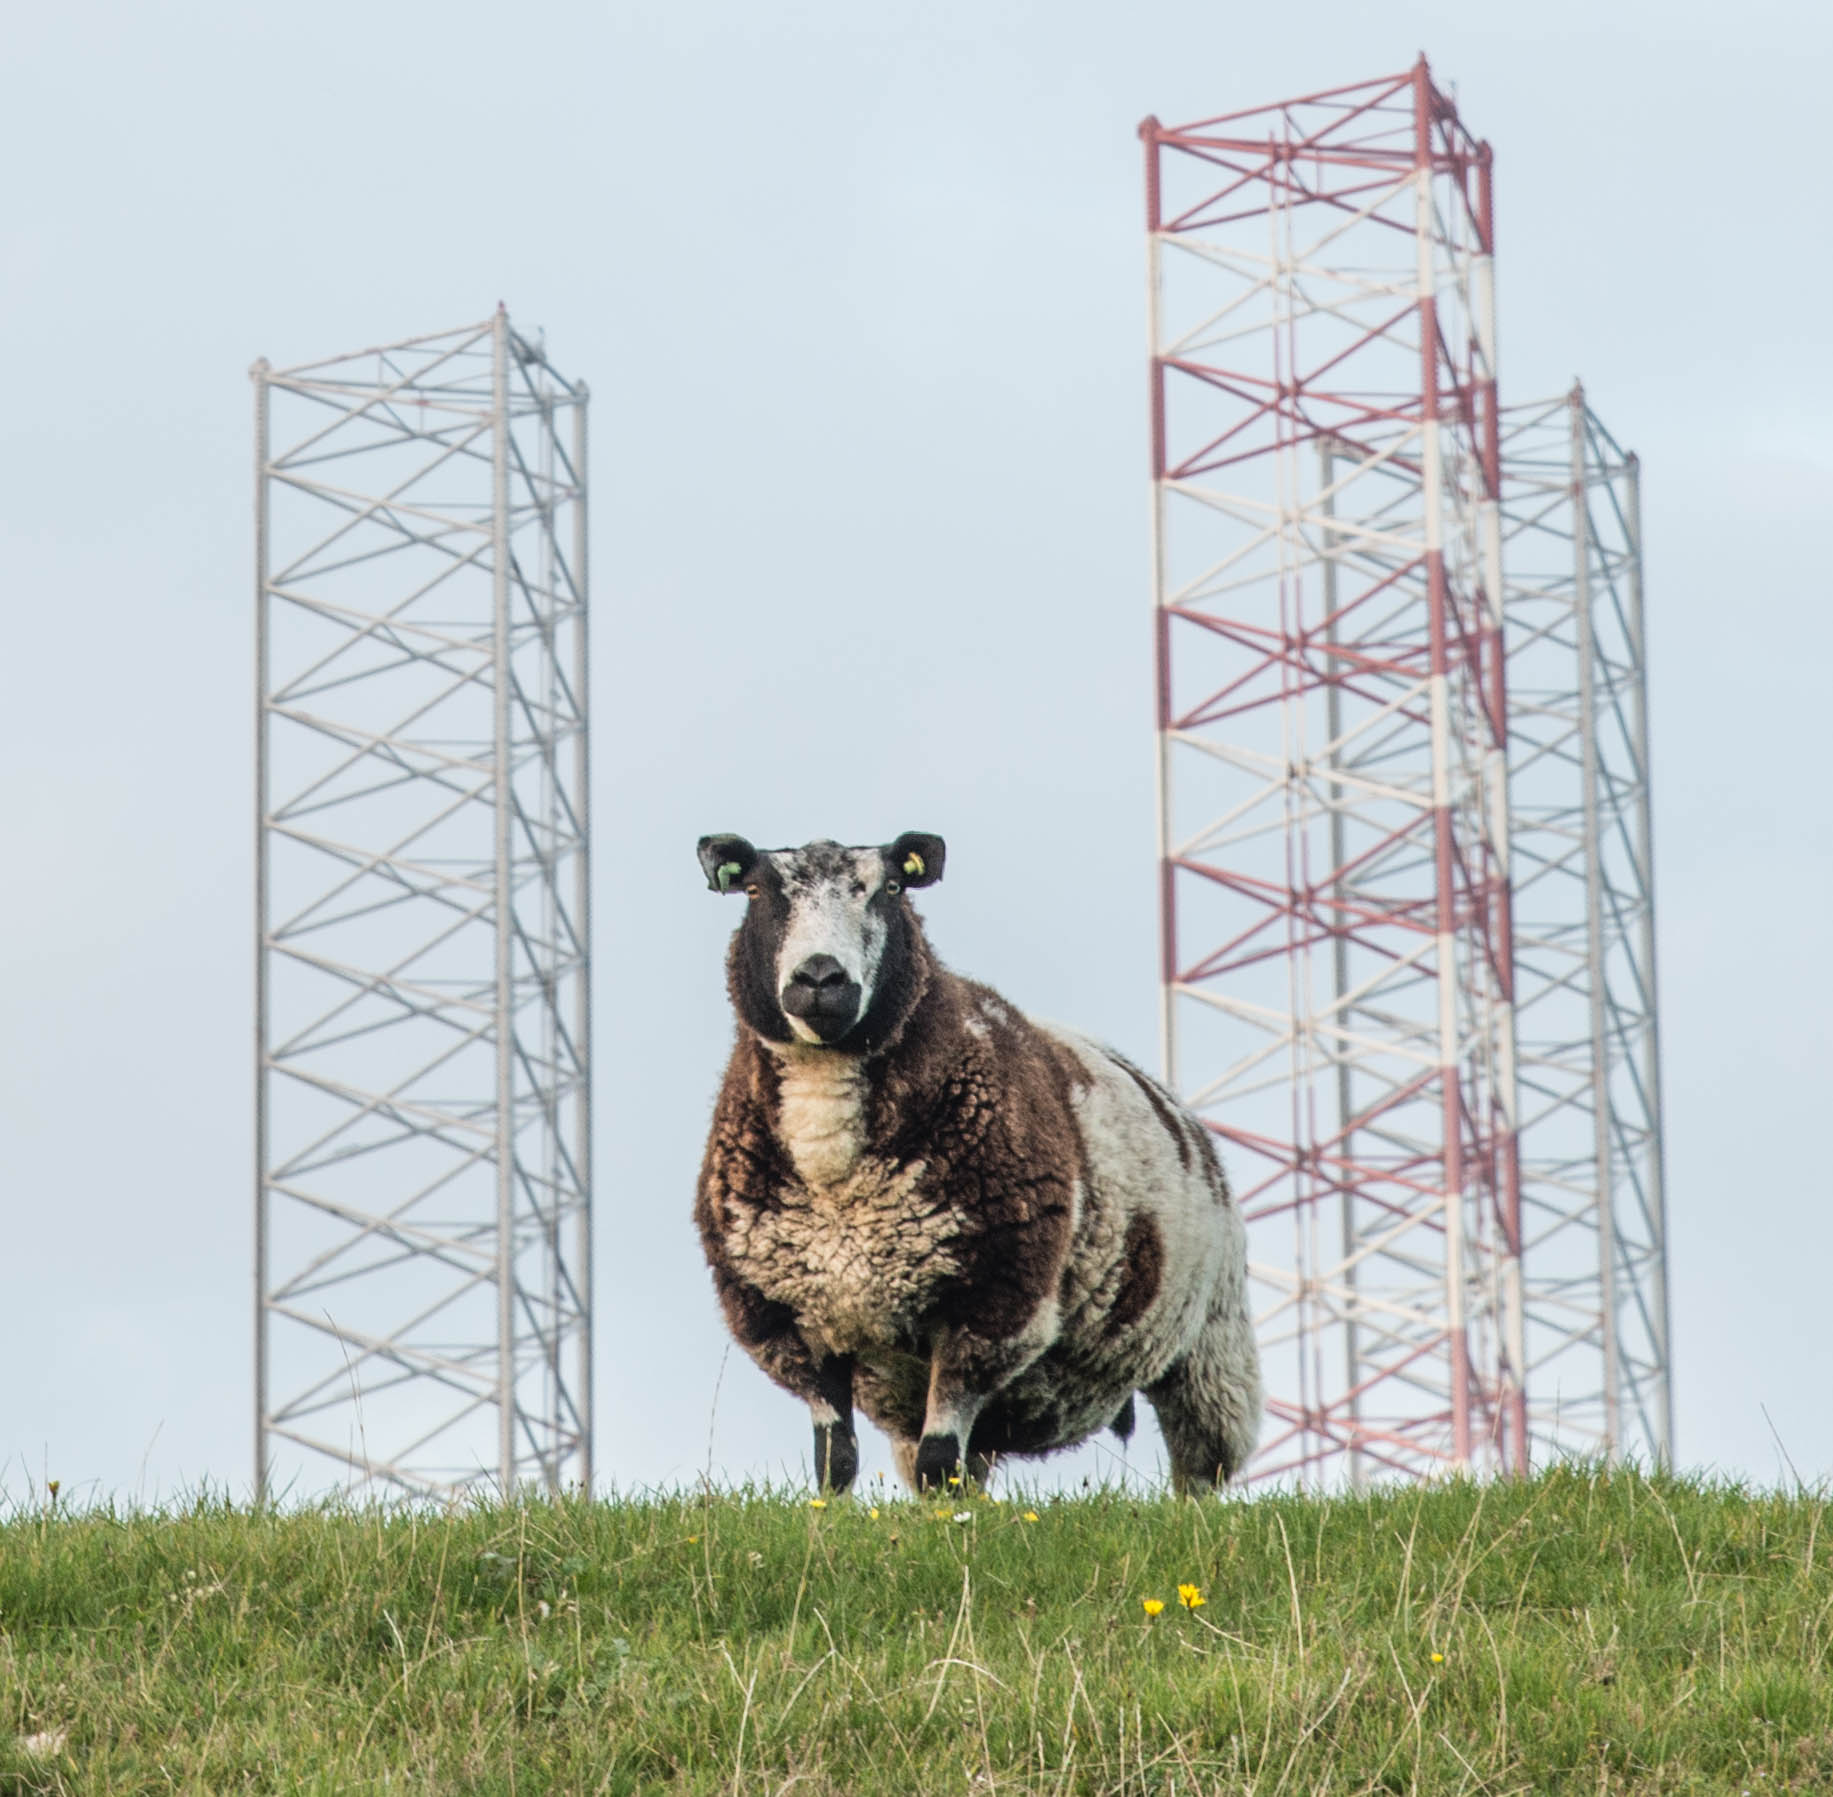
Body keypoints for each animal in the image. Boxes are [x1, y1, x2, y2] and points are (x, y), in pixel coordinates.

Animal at [689, 836, 1261, 1496]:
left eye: (891, 888)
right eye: (756, 890)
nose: (820, 979)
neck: (835, 1176)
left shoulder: (990, 1307)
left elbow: (940, 1463)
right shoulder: (789, 1320)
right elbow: (836, 1462)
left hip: (1210, 1351)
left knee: (1202, 1467)